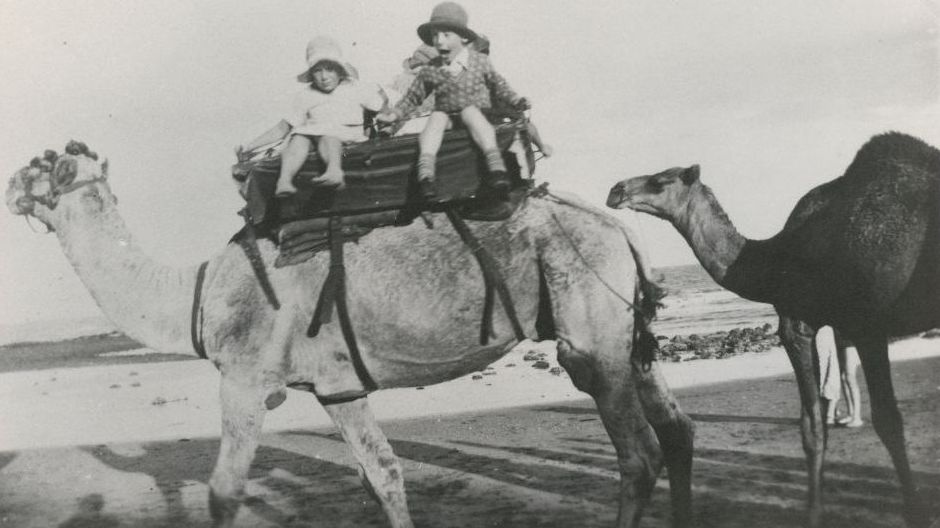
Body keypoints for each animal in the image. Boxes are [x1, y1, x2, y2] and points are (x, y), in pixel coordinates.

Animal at [6, 143, 694, 528]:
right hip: (626, 333)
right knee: (677, 428)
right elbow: (380, 474)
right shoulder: (338, 382)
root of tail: (617, 225)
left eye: (47, 167)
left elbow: (224, 492)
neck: (197, 296)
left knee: (638, 453)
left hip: (591, 336)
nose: (11, 186)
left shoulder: (246, 380)